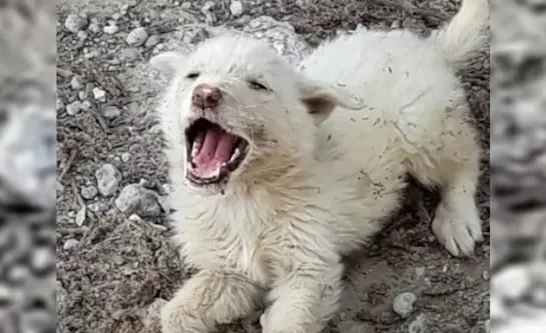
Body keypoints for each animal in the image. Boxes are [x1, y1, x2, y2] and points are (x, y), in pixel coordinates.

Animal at [150, 0, 488, 332]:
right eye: (192, 75)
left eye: (258, 85)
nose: (205, 94)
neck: (243, 195)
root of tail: (430, 47)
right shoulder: (229, 269)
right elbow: (175, 313)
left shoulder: (310, 268)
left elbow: (289, 324)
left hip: (423, 130)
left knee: (467, 158)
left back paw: (458, 220)